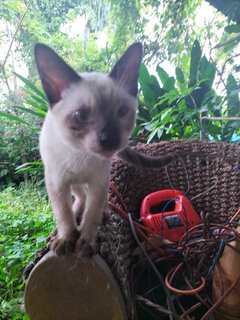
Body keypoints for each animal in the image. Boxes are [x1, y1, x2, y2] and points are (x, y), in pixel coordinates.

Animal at [34, 43, 175, 258]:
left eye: (122, 112)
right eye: (80, 115)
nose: (110, 139)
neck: (80, 155)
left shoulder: (99, 183)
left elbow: (92, 215)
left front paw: (84, 243)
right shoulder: (57, 182)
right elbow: (63, 213)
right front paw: (67, 238)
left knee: (87, 198)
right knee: (79, 197)